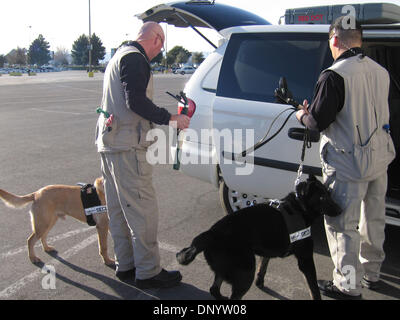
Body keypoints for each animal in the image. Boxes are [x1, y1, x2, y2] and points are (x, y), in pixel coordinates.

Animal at [177, 175, 342, 300]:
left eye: (329, 193)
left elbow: (263, 266)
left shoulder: (267, 250)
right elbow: (313, 288)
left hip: (226, 269)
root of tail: (211, 233)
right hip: (245, 271)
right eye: (322, 197)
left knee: (214, 289)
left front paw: (260, 282)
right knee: (232, 297)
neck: (299, 207)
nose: (340, 210)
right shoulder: (305, 259)